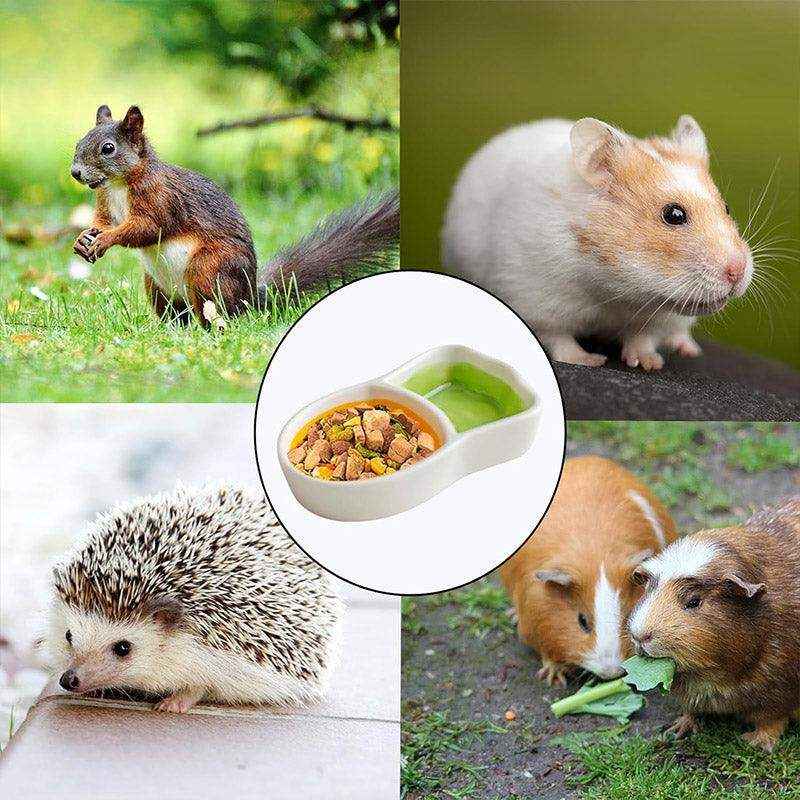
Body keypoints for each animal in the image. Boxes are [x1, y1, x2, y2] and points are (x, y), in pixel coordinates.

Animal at [442, 116, 753, 370]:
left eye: (726, 208)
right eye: (673, 214)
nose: (738, 272)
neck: (615, 291)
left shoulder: (656, 317)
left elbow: (643, 336)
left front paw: (648, 363)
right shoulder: (535, 297)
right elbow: (558, 338)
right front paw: (590, 361)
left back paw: (687, 348)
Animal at [628, 497, 800, 752]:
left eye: (693, 601)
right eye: (649, 590)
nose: (640, 636)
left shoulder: (780, 691)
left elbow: (771, 720)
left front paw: (755, 743)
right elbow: (691, 710)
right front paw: (676, 731)